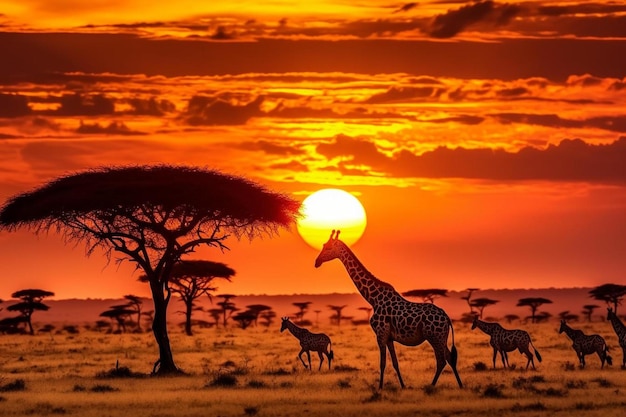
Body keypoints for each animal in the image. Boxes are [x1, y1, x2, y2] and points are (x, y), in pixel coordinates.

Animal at [314, 229, 460, 388]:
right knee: (450, 358)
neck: (374, 299)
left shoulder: (381, 334)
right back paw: (460, 386)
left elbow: (382, 363)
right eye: (323, 245)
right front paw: (402, 386)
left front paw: (380, 387)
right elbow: (395, 363)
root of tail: (446, 317)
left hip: (434, 336)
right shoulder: (389, 337)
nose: (316, 262)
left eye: (328, 247)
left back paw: (431, 386)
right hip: (441, 337)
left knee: (442, 360)